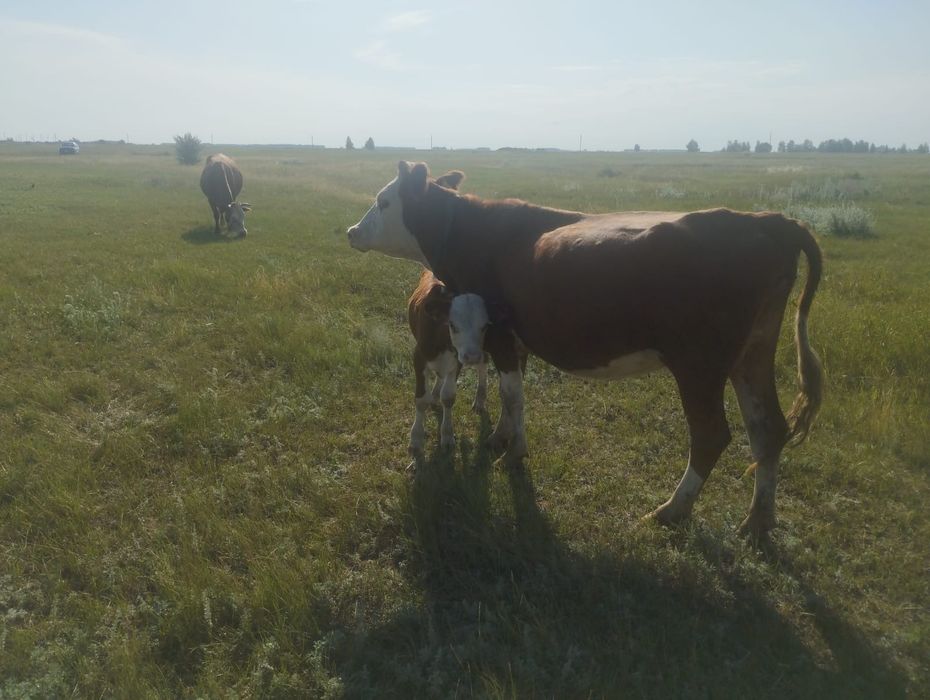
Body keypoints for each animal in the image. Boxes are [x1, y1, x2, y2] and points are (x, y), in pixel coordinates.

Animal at [347, 161, 824, 540]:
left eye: (383, 201)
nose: (352, 231)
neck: (471, 232)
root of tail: (764, 220)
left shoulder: (498, 333)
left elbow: (512, 395)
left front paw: (514, 452)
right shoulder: (512, 339)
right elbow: (508, 395)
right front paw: (501, 437)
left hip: (699, 364)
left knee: (712, 435)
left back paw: (672, 509)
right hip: (752, 354)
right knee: (768, 429)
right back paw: (758, 521)